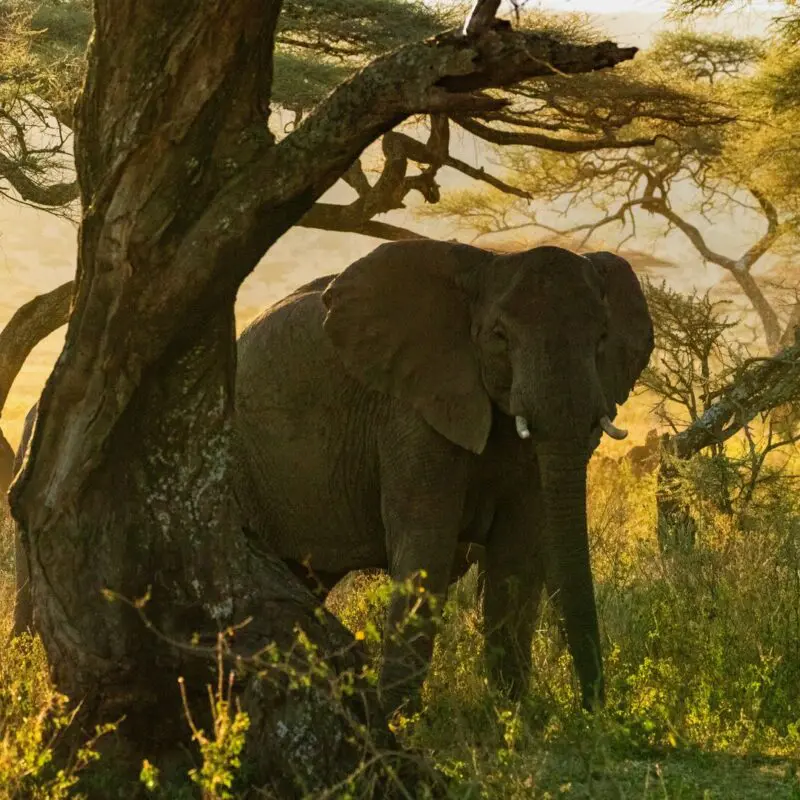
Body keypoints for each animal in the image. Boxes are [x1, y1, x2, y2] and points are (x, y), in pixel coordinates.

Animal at [233, 240, 653, 713]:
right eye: (500, 337)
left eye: (602, 338)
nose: (592, 708)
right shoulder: (411, 412)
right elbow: (426, 549)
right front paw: (399, 720)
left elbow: (516, 557)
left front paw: (513, 717)